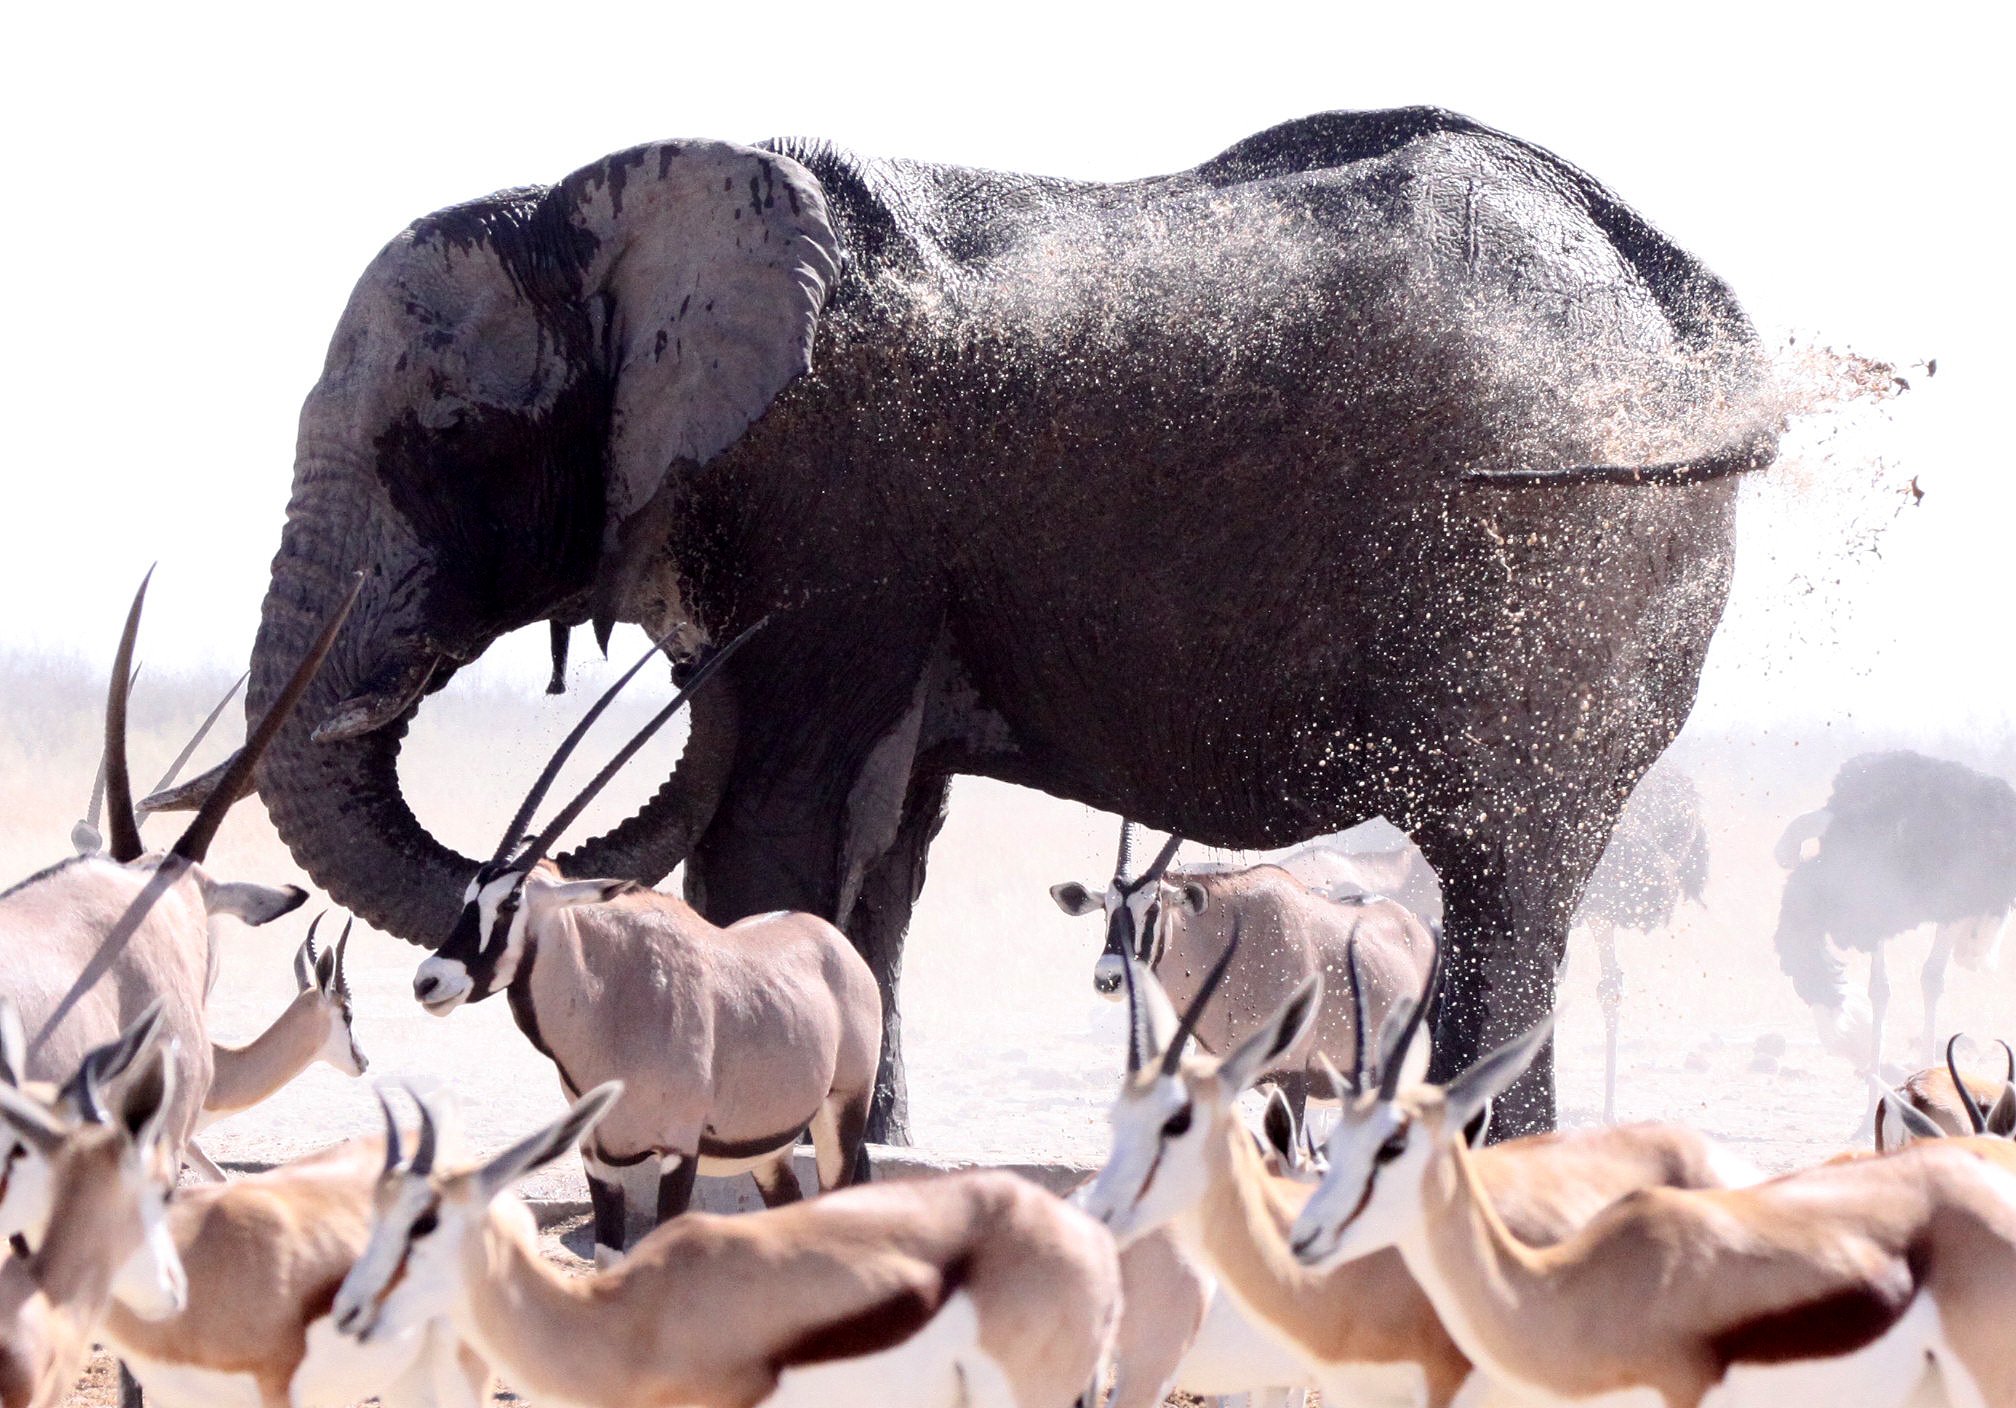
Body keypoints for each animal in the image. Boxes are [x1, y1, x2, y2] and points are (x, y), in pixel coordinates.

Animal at [164, 107, 1778, 1141]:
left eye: (444, 439)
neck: (603, 204)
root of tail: (1686, 292)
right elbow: (875, 854)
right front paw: (860, 1148)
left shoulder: (837, 501)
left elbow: (780, 822)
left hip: (1569, 564)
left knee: (1505, 868)